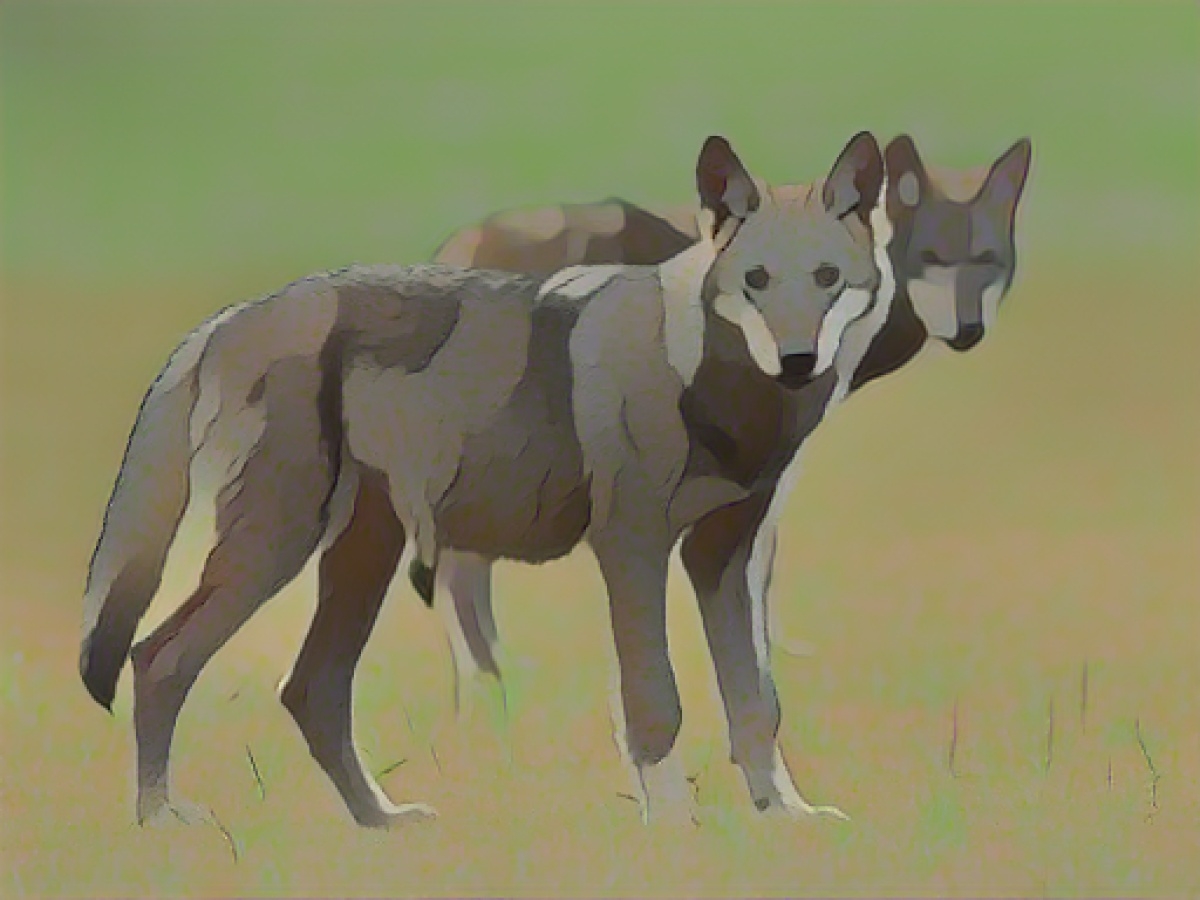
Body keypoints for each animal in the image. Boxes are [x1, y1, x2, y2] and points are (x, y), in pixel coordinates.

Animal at [80, 132, 891, 828]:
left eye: (827, 280)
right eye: (756, 282)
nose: (797, 360)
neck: (710, 383)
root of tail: (228, 317)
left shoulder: (724, 561)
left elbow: (757, 703)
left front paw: (783, 818)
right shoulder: (634, 551)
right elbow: (656, 702)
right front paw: (674, 829)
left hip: (358, 560)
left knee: (310, 690)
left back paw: (381, 824)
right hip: (275, 550)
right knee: (157, 659)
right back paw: (161, 823)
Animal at [427, 136, 1033, 706]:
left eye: (987, 260)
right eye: (931, 257)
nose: (968, 330)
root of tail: (459, 244)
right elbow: (759, 570)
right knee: (462, 573)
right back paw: (489, 686)